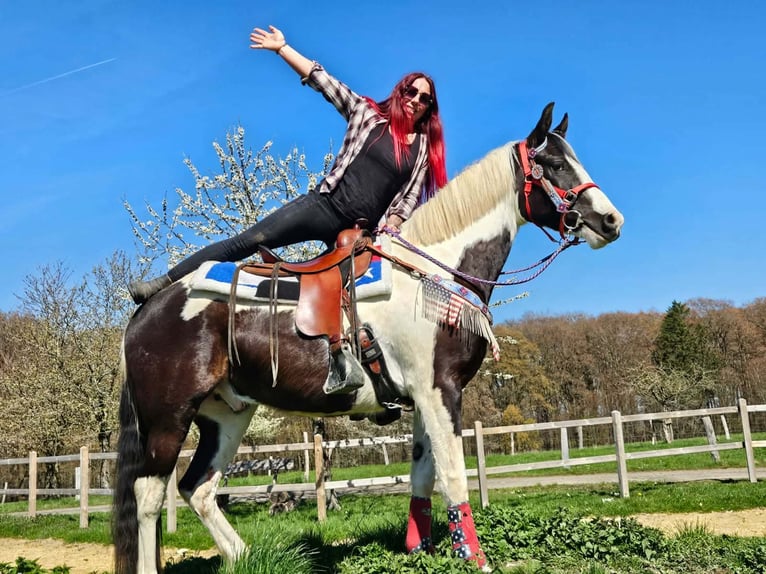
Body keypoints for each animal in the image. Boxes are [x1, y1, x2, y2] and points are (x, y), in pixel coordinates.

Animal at [112, 102, 624, 573]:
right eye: (554, 164)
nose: (611, 221)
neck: (433, 275)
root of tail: (145, 311)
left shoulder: (422, 398)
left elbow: (422, 475)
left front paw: (420, 549)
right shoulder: (441, 391)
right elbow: (453, 476)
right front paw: (474, 560)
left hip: (227, 415)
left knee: (197, 488)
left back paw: (245, 555)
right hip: (168, 417)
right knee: (148, 495)